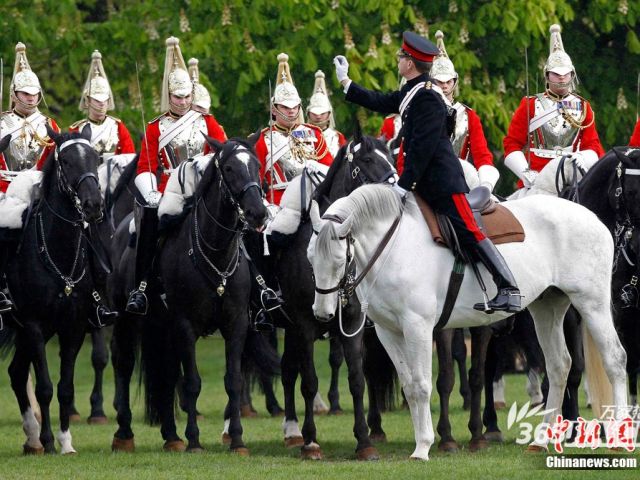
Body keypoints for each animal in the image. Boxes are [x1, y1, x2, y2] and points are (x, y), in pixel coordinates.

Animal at [1, 124, 103, 454]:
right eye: (67, 162)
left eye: (95, 158)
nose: (93, 205)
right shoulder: (34, 324)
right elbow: (45, 387)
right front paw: (48, 441)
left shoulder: (72, 327)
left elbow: (65, 388)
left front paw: (66, 441)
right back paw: (36, 437)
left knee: (16, 373)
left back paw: (31, 436)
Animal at [308, 185, 628, 462]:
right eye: (310, 258)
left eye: (339, 260)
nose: (322, 313)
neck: (394, 247)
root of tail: (593, 219)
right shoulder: (390, 333)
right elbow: (410, 386)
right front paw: (421, 441)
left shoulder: (418, 326)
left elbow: (422, 385)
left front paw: (423, 447)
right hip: (547, 307)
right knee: (559, 366)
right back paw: (541, 440)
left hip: (591, 303)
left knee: (615, 359)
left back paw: (618, 439)